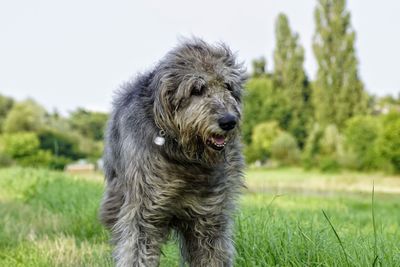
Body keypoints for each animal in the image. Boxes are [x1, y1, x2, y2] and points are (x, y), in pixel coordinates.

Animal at [98, 38, 245, 267]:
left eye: (228, 86)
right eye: (197, 89)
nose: (228, 121)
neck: (183, 154)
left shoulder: (209, 214)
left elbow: (212, 251)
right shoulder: (143, 210)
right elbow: (137, 249)